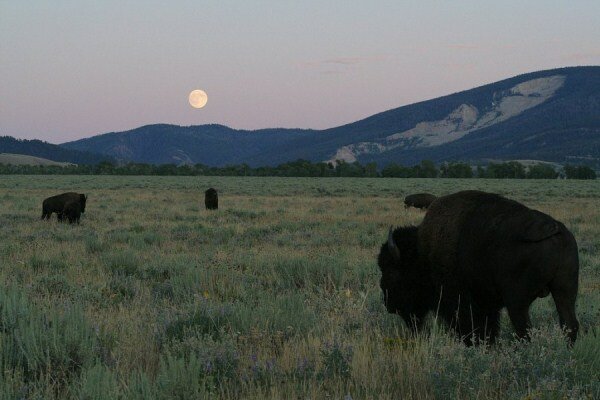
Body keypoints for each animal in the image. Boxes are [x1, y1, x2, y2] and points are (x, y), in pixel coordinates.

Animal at [378, 190, 580, 344]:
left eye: (392, 272)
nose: (388, 303)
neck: (422, 252)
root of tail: (552, 228)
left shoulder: (461, 303)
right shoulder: (487, 305)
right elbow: (489, 330)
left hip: (517, 302)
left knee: (525, 330)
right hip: (565, 291)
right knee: (569, 325)